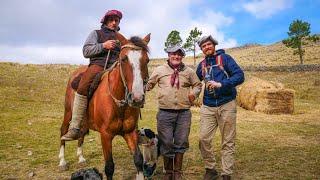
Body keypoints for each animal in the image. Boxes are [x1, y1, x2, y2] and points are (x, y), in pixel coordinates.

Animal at [59, 32, 151, 180]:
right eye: (123, 59)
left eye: (147, 60)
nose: (137, 98)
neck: (119, 105)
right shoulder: (106, 136)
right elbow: (109, 167)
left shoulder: (130, 132)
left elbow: (138, 159)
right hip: (68, 112)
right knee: (63, 131)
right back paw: (62, 161)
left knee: (81, 133)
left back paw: (81, 158)